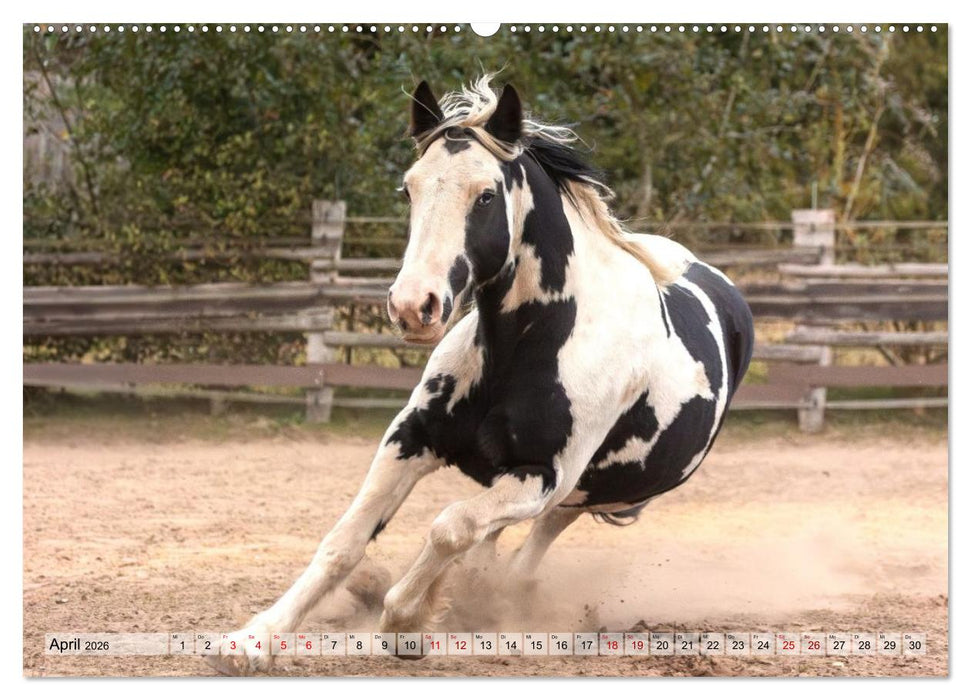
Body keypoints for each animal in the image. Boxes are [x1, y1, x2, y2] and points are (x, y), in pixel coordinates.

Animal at [210, 75, 754, 674]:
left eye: (486, 196)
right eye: (408, 190)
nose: (413, 307)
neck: (524, 346)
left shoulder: (542, 474)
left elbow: (451, 527)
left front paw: (404, 622)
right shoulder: (410, 437)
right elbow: (346, 540)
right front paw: (254, 640)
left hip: (602, 493)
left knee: (533, 536)